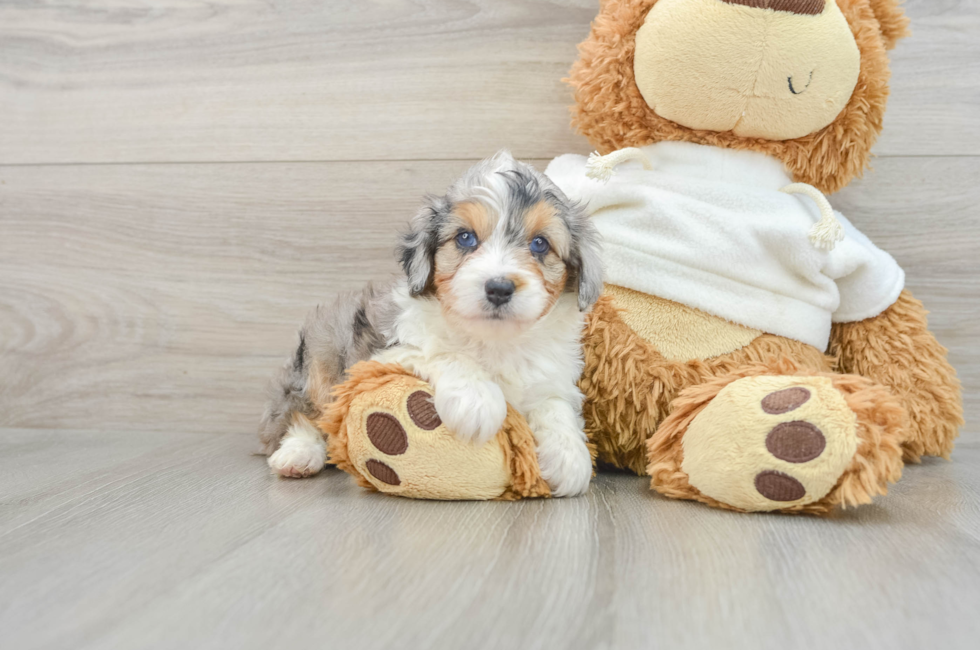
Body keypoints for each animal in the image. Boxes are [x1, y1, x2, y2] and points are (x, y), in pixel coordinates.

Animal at [256, 151, 600, 496]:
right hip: (320, 357)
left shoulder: (551, 373)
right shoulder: (383, 354)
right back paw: (299, 454)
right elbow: (442, 353)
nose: (499, 288)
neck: (494, 340)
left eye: (540, 244)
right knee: (300, 413)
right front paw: (477, 401)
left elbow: (555, 402)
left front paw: (569, 455)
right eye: (465, 238)